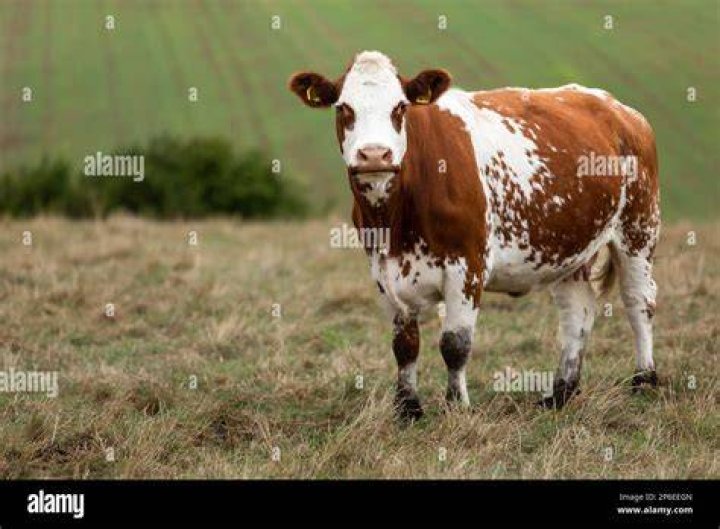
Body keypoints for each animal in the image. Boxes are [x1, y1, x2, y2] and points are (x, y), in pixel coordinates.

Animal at [289, 51, 660, 420]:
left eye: (400, 107)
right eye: (343, 108)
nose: (374, 155)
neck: (395, 219)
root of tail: (618, 108)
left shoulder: (467, 267)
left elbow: (455, 344)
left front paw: (457, 406)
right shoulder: (383, 272)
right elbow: (404, 346)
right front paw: (408, 408)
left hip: (639, 230)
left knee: (638, 302)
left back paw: (644, 381)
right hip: (568, 247)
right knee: (577, 314)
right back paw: (560, 393)